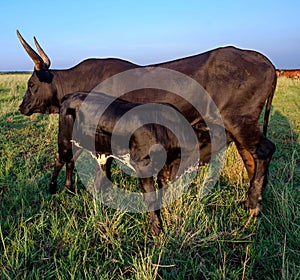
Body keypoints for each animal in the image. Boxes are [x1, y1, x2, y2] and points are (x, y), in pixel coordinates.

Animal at [17, 30, 276, 217]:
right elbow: (73, 158)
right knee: (250, 157)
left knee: (264, 151)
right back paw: (255, 200)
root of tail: (266, 62)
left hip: (240, 122)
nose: (22, 107)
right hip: (239, 128)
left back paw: (253, 204)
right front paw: (69, 189)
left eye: (31, 84)